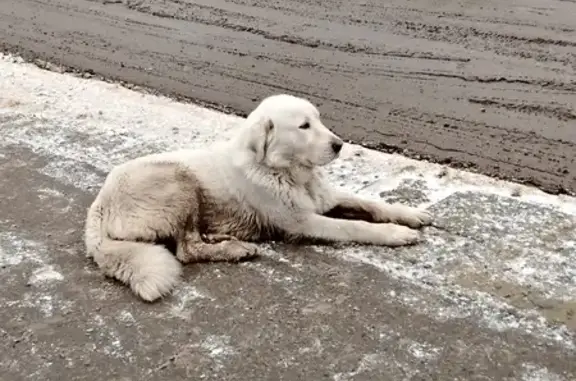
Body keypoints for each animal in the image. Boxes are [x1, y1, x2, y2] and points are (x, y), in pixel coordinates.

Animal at [83, 93, 430, 302]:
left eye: (318, 120)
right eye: (304, 126)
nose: (339, 144)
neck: (285, 172)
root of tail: (99, 205)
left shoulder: (325, 198)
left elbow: (369, 203)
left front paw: (410, 214)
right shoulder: (303, 222)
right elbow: (356, 226)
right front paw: (397, 233)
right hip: (179, 182)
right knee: (187, 249)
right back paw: (235, 248)